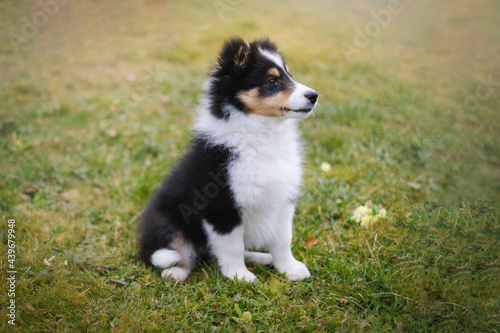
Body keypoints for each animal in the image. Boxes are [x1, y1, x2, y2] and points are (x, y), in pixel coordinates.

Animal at [139, 35, 318, 280]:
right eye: (272, 81)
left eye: (289, 74)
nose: (314, 96)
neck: (260, 134)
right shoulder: (221, 207)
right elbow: (231, 247)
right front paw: (239, 277)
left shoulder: (282, 199)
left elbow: (282, 240)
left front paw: (289, 269)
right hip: (165, 220)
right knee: (179, 251)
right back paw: (176, 272)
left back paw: (262, 258)